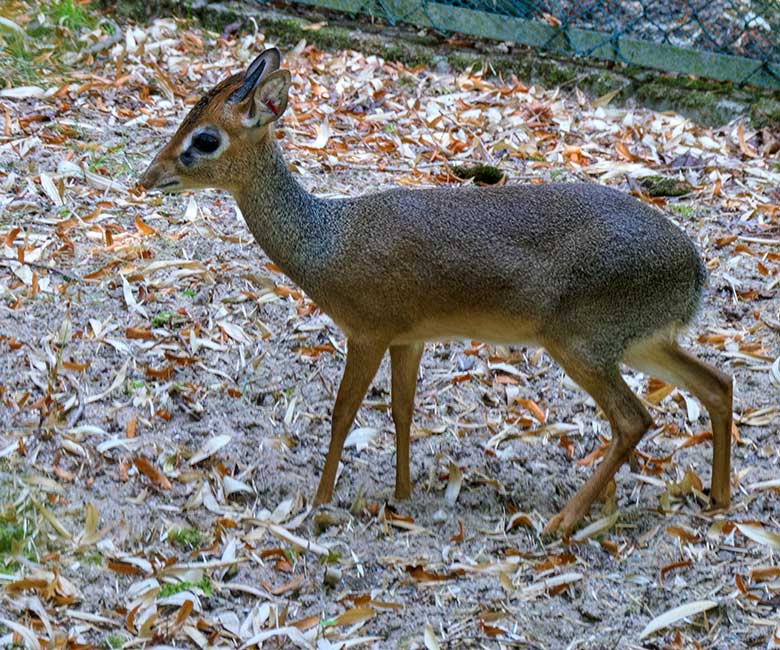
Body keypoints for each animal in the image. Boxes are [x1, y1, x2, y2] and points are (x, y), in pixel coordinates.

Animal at [143, 46, 736, 532]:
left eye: (205, 138)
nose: (149, 176)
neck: (325, 241)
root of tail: (696, 273)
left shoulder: (367, 331)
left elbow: (343, 415)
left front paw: (320, 501)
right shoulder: (409, 338)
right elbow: (403, 410)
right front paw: (402, 494)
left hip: (580, 342)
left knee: (635, 419)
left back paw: (562, 522)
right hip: (640, 341)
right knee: (717, 384)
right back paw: (718, 499)